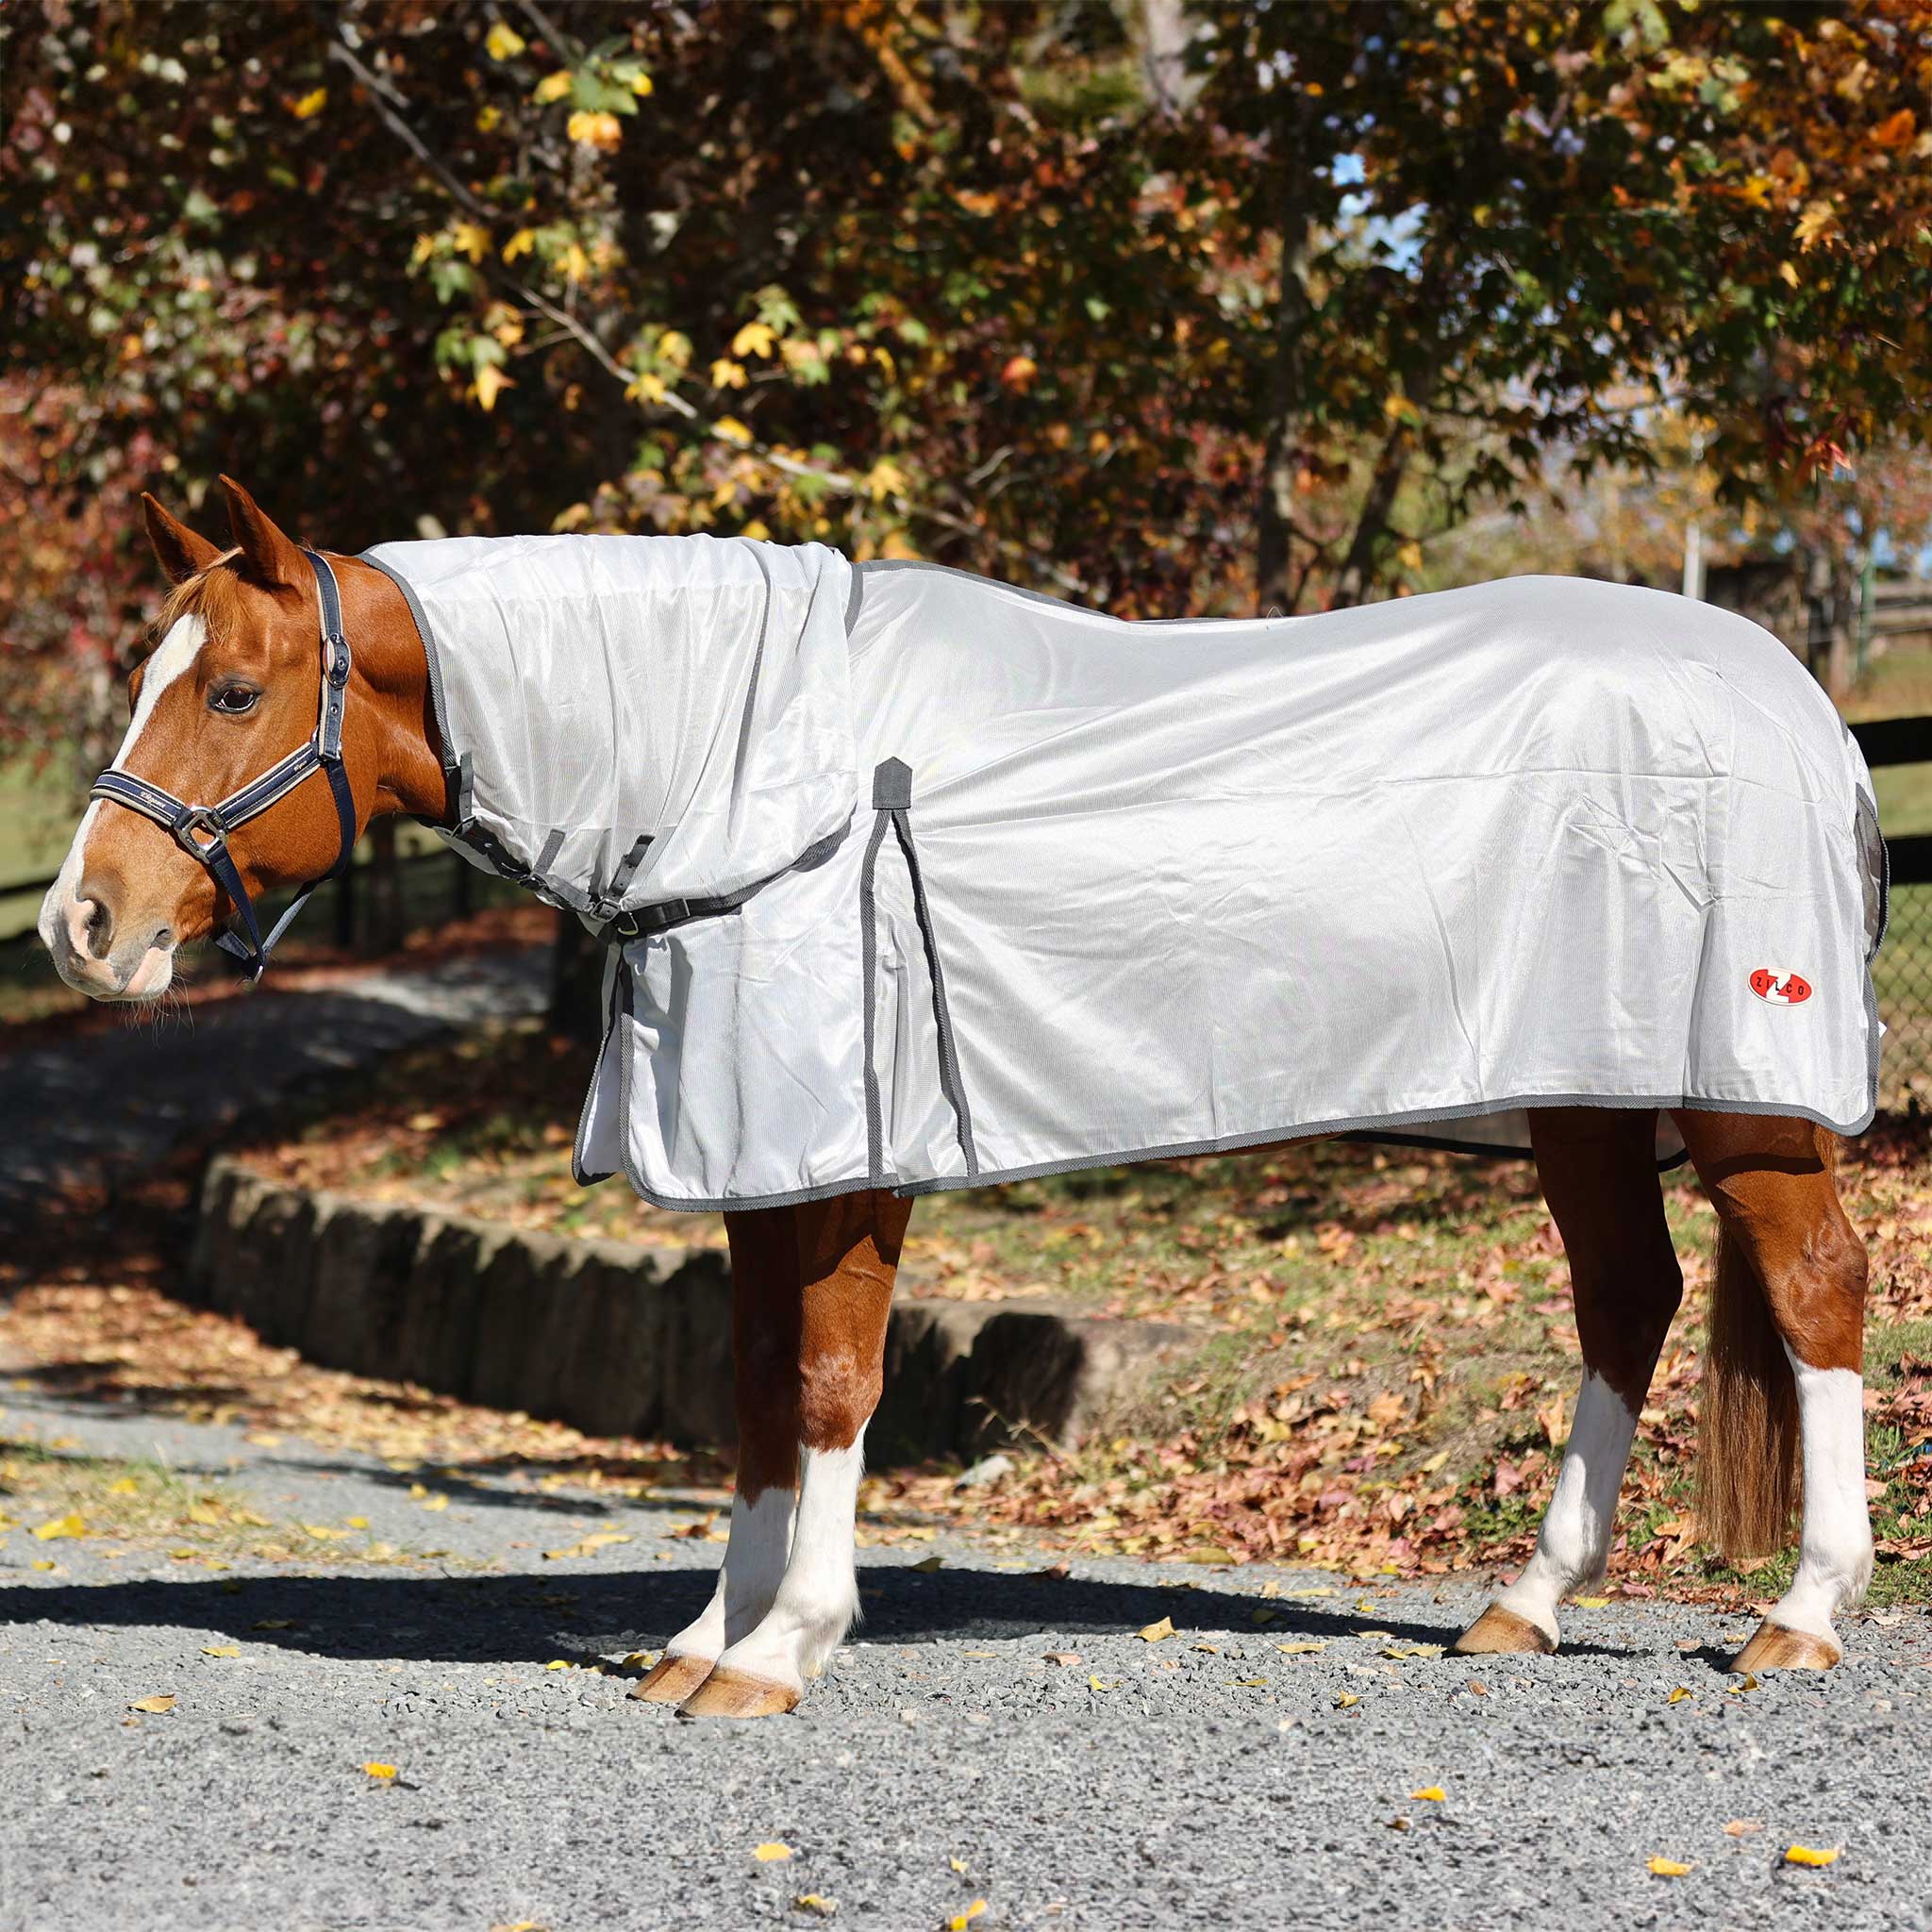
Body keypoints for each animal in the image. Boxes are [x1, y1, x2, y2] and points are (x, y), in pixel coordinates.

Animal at [38, 478, 1877, 1719]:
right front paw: (703, 1637)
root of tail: (1796, 699)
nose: (83, 923)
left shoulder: (847, 1167)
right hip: (1585, 1091)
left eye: (231, 692)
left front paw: (781, 1652)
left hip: (1746, 1103)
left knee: (1812, 1290)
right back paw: (1527, 1604)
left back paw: (1800, 1615)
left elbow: (833, 1385)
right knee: (1626, 1296)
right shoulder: (759, 1163)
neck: (748, 765)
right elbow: (752, 1388)